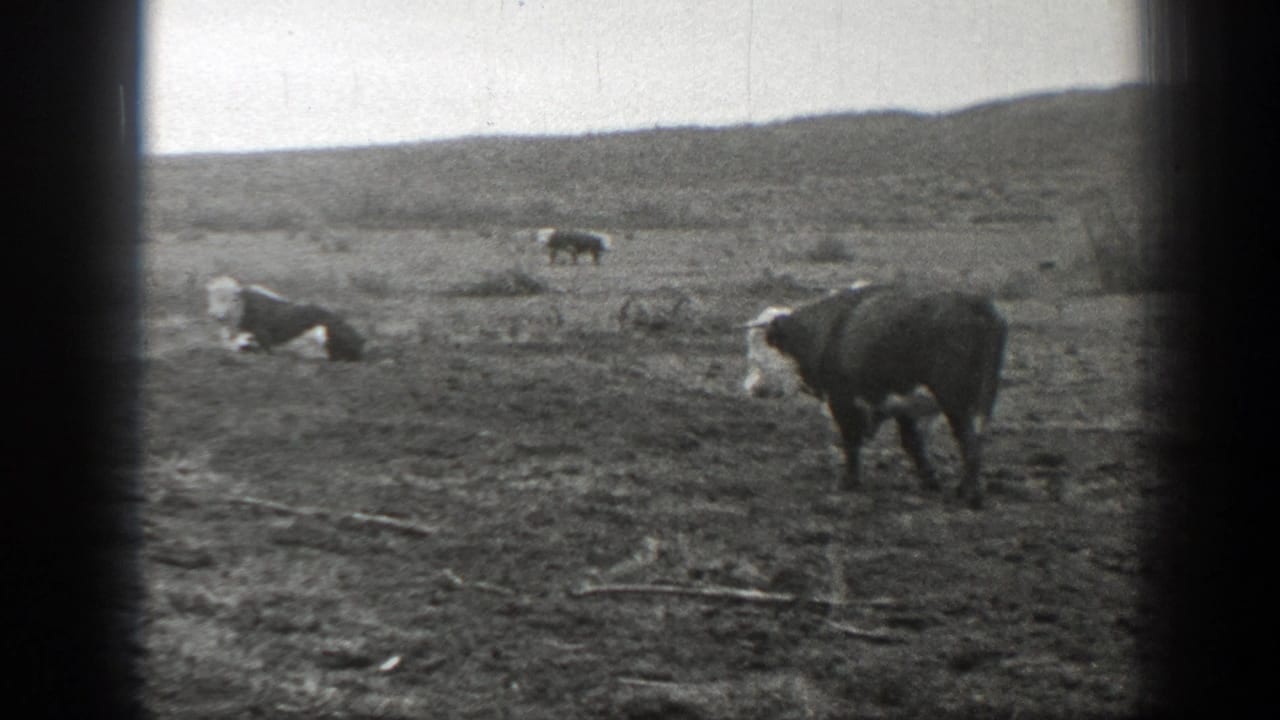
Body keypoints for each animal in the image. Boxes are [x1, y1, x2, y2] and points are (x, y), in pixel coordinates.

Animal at [743, 282, 1007, 508]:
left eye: (757, 357)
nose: (751, 388)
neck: (827, 330)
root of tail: (976, 305)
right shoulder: (902, 405)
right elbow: (912, 442)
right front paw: (930, 479)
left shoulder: (843, 400)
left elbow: (851, 439)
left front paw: (849, 481)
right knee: (974, 440)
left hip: (955, 402)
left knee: (969, 442)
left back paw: (971, 495)